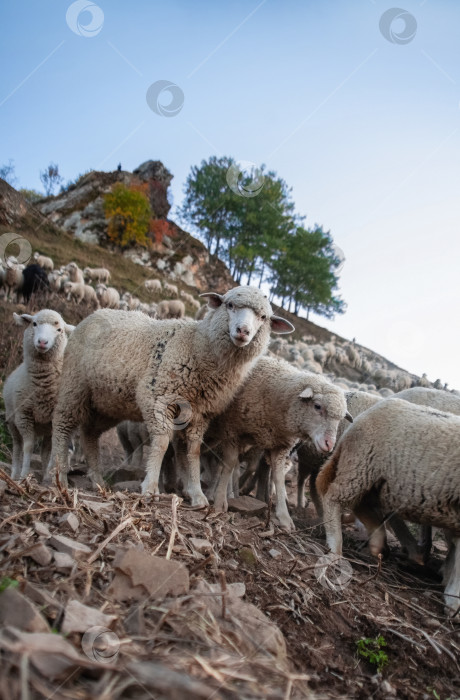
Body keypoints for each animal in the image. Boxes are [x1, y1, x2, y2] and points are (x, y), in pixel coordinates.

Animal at [2, 312, 74, 482]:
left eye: (59, 330)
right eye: (34, 324)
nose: (42, 342)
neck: (43, 386)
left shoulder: (56, 418)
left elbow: (53, 448)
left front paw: (50, 477)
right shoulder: (24, 415)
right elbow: (27, 446)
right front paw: (24, 475)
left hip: (46, 427)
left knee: (45, 450)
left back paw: (46, 475)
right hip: (11, 421)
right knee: (17, 447)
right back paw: (14, 474)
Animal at [45, 284, 294, 504]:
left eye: (263, 317)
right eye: (230, 305)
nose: (243, 331)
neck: (197, 346)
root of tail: (96, 312)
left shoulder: (199, 414)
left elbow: (193, 451)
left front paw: (197, 495)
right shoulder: (158, 398)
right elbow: (162, 444)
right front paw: (151, 488)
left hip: (106, 403)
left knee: (89, 434)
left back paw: (97, 479)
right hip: (75, 384)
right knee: (62, 425)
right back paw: (58, 476)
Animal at [207, 356, 350, 532]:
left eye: (340, 418)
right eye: (317, 406)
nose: (329, 444)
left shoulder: (279, 446)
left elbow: (278, 478)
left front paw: (284, 517)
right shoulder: (233, 430)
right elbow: (229, 464)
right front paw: (220, 502)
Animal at [316, 396, 460, 616]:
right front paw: (453, 601)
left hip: (377, 481)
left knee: (362, 505)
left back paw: (378, 545)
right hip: (361, 465)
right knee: (334, 498)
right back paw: (335, 547)